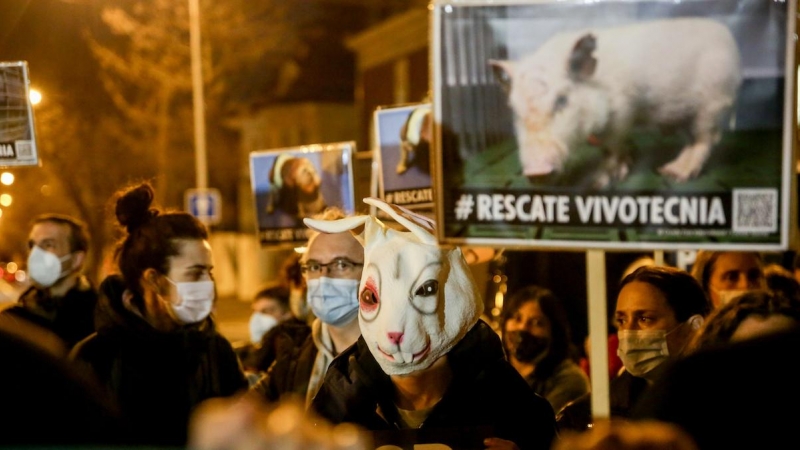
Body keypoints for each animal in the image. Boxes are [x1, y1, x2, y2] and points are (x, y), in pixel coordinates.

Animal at [490, 17, 740, 186]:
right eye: (514, 110)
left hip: (713, 104)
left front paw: (598, 182)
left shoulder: (623, 112)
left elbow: (611, 148)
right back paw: (666, 170)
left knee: (707, 139)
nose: (536, 172)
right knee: (691, 140)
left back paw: (677, 174)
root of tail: (728, 35)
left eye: (562, 100)